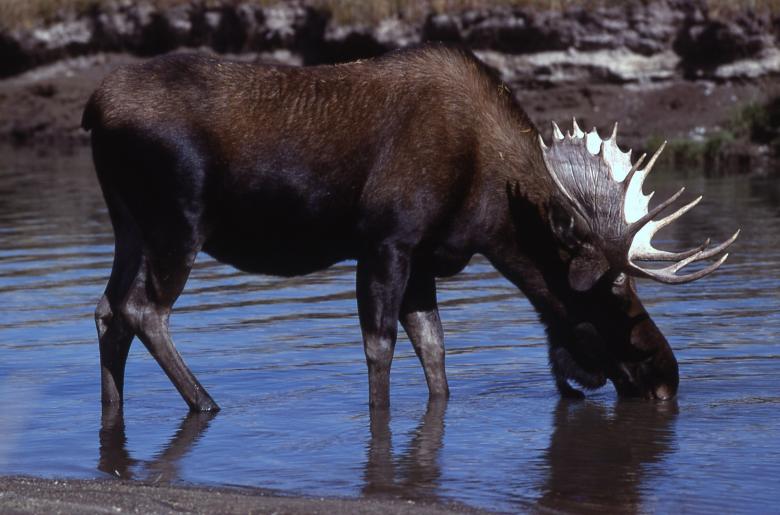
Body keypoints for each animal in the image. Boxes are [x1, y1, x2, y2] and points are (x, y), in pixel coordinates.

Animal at [82, 44, 738, 412]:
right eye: (616, 290)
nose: (666, 379)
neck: (489, 207)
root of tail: (92, 108)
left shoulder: (423, 259)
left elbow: (436, 354)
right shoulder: (387, 241)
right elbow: (382, 349)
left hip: (129, 224)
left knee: (108, 308)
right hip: (179, 219)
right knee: (144, 309)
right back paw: (206, 404)